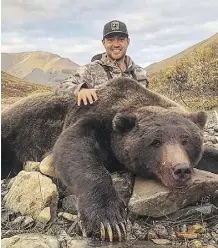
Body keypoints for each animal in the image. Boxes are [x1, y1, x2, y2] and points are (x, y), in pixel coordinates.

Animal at [1, 78, 218, 240]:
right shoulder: (91, 118)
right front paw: (109, 220)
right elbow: (71, 148)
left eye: (185, 140)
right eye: (155, 142)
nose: (180, 170)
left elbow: (209, 155)